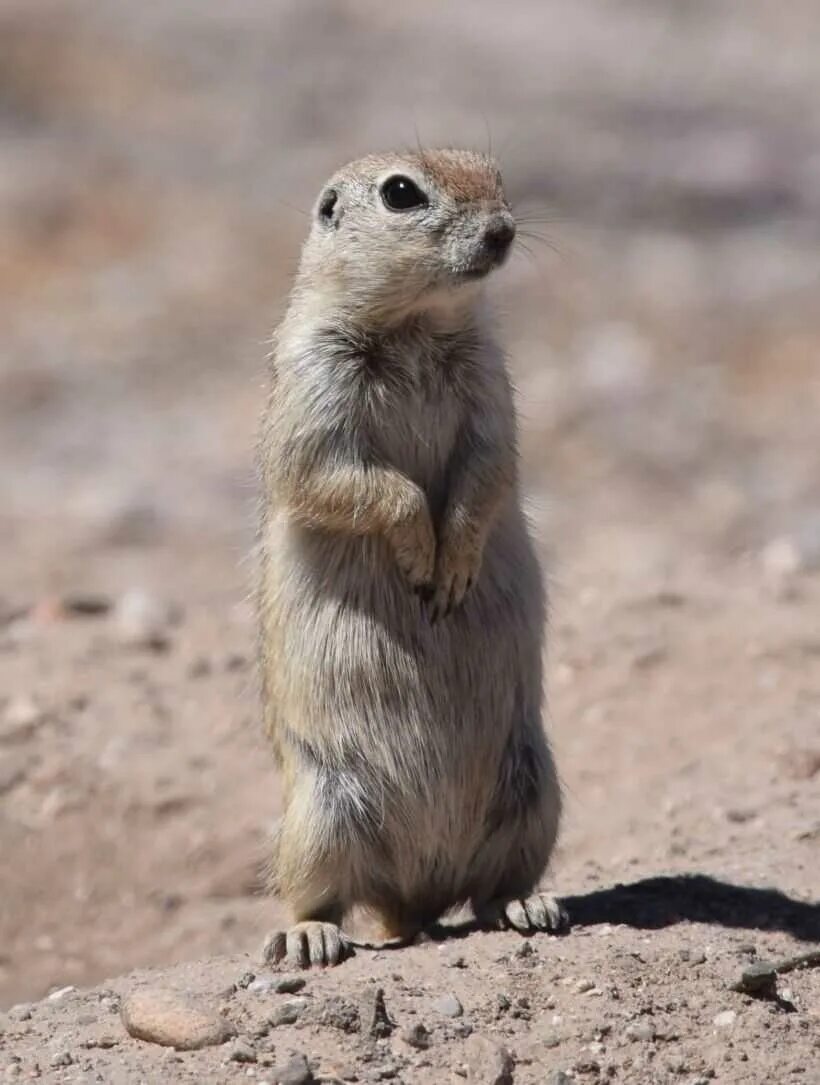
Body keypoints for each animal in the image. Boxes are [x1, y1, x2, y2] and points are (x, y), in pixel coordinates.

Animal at [255, 146, 564, 967]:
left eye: (494, 172)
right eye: (401, 193)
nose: (503, 230)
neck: (417, 323)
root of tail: (417, 896)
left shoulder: (490, 383)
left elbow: (489, 469)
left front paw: (452, 564)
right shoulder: (315, 387)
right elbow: (346, 478)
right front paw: (421, 555)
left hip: (534, 793)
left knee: (489, 890)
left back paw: (527, 903)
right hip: (319, 813)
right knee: (320, 895)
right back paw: (308, 937)